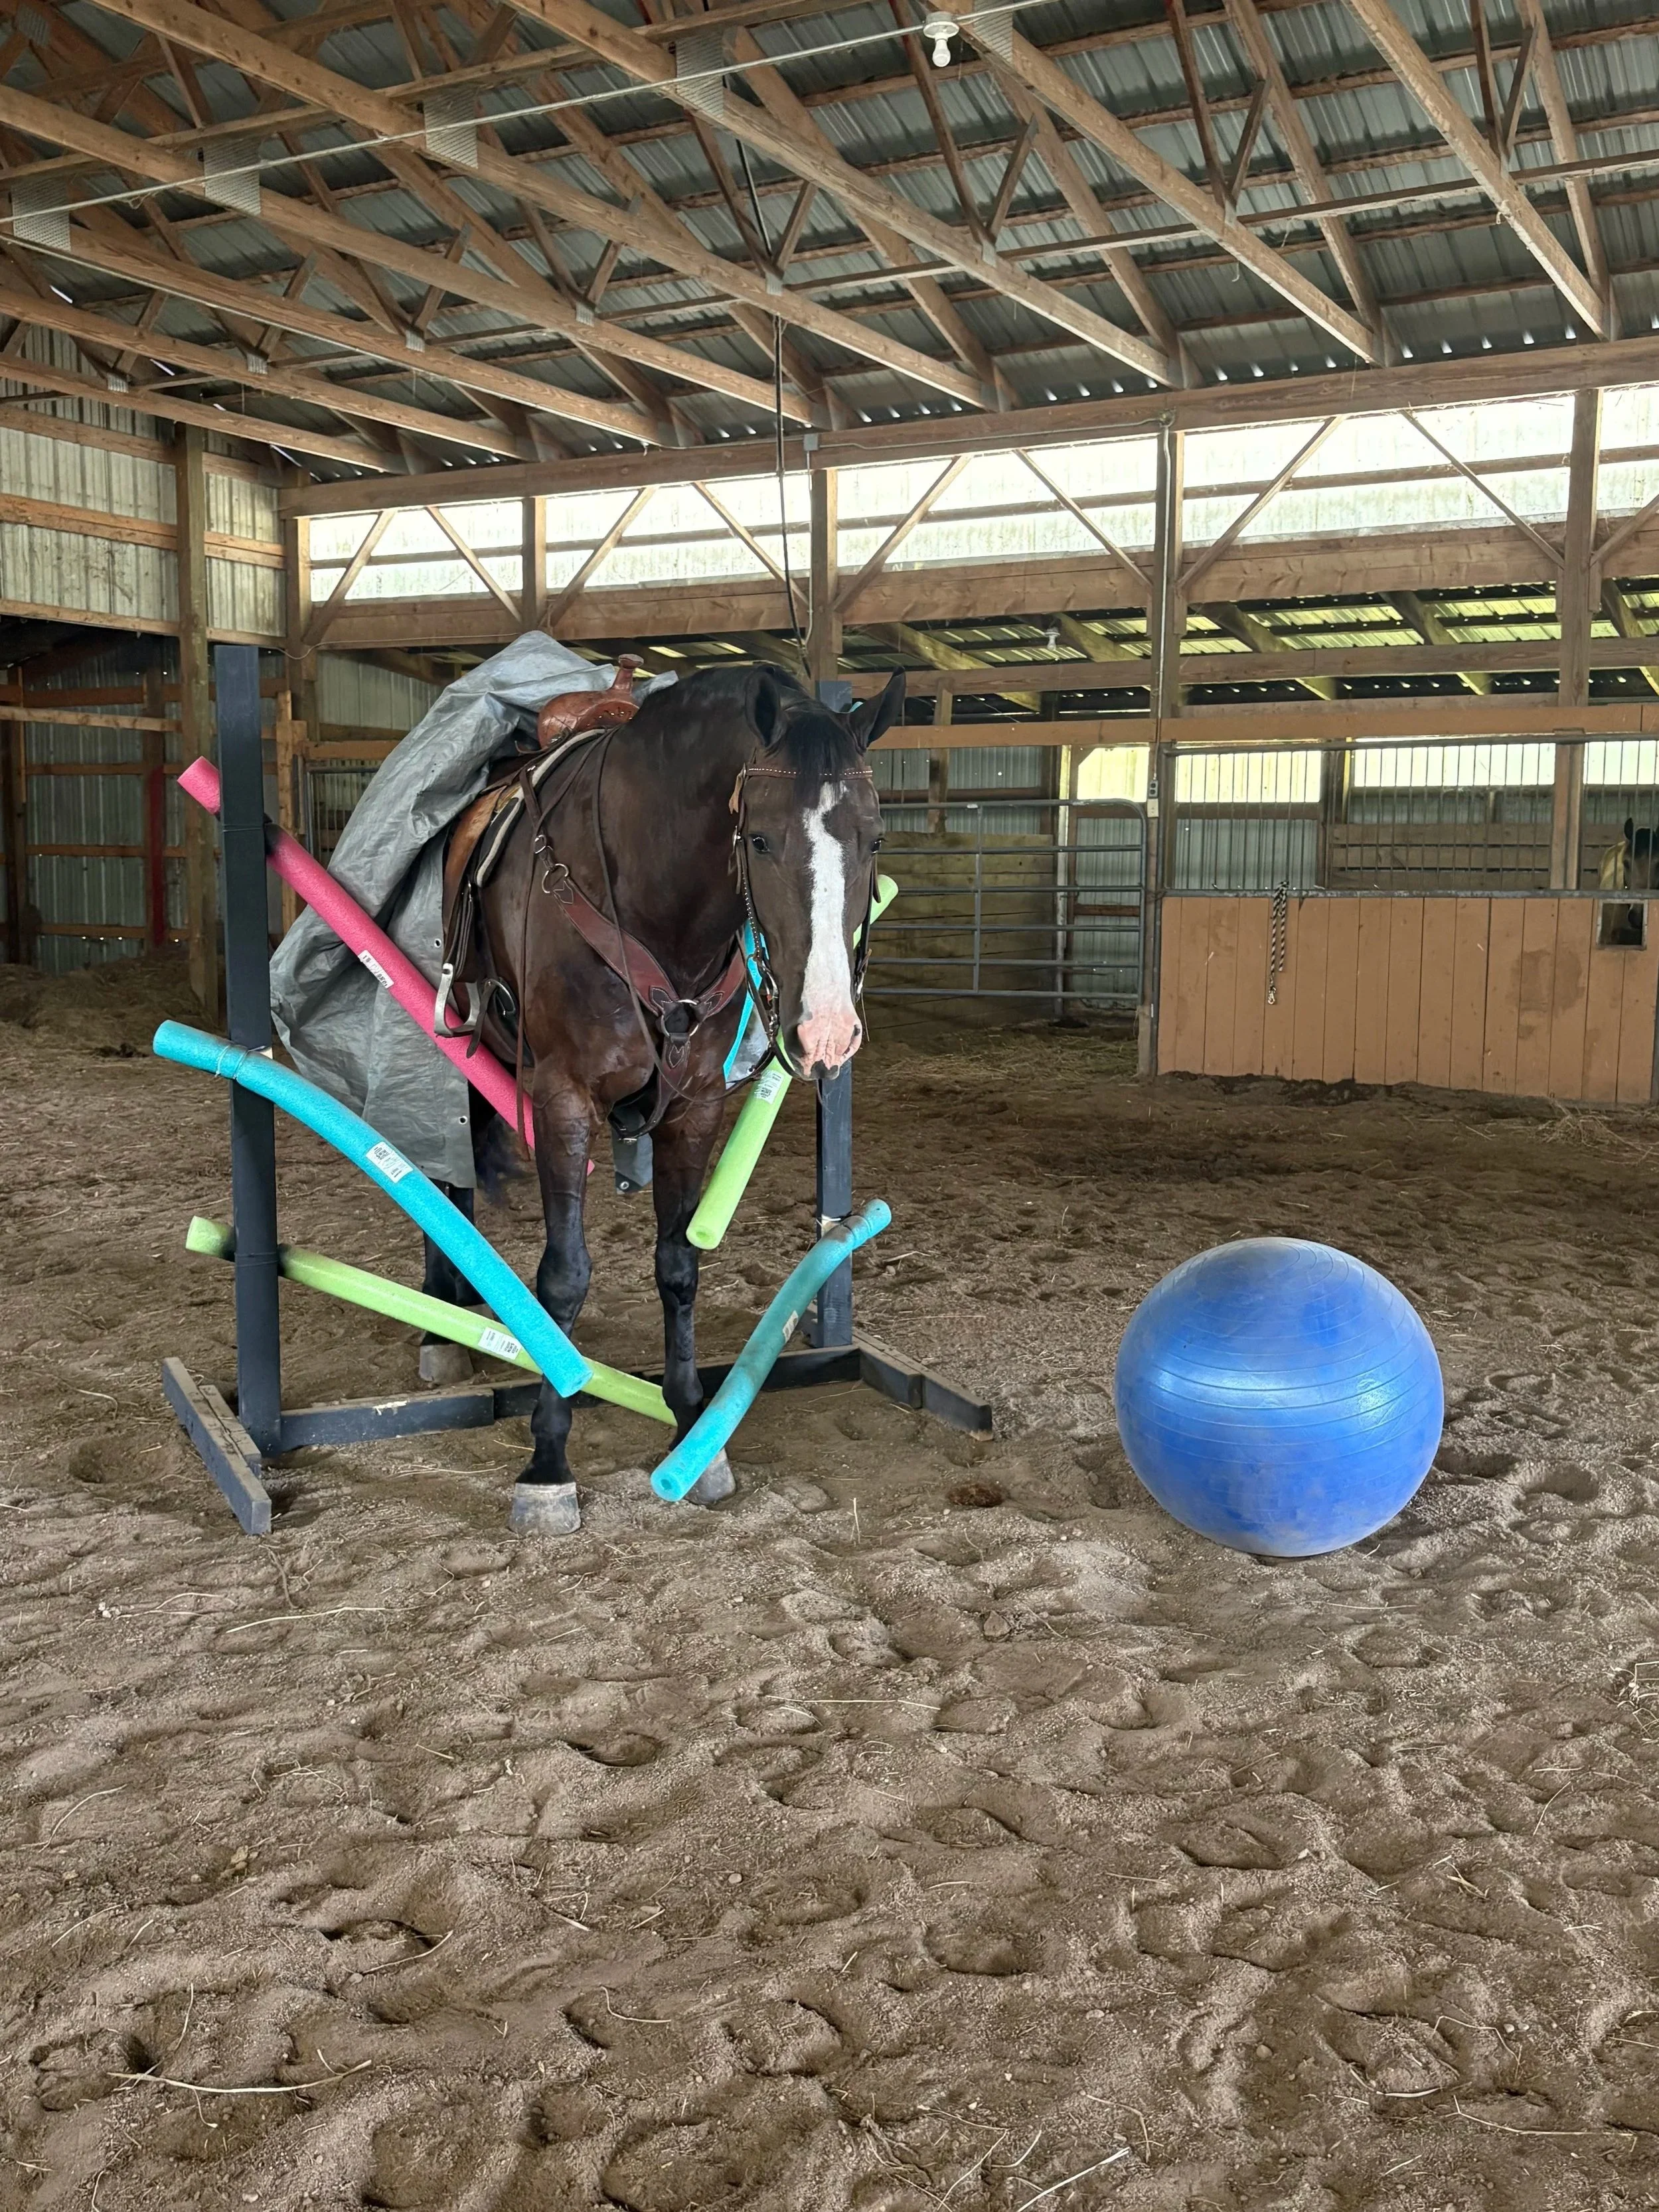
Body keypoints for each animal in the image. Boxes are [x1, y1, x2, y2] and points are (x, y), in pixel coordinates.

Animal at [419, 662, 903, 1535]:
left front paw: (690, 1431)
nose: (826, 1030)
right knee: (452, 1177)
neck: (655, 901)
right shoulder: (562, 1099)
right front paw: (548, 1462)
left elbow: (678, 1266)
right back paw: (446, 1315)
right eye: (758, 839)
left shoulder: (697, 1107)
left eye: (873, 838)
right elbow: (564, 1277)